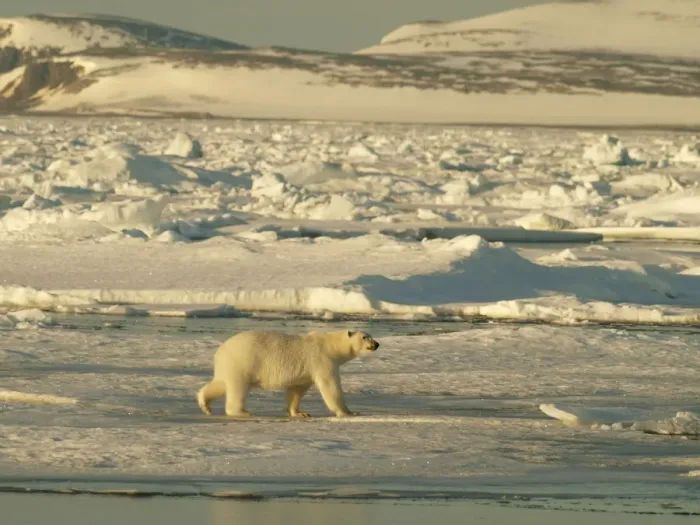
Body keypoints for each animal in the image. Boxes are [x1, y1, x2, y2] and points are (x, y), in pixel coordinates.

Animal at [196, 329, 379, 418]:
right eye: (365, 337)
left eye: (370, 336)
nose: (377, 344)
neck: (331, 345)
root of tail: (221, 351)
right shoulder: (322, 360)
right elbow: (330, 387)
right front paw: (348, 412)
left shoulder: (306, 371)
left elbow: (296, 390)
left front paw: (300, 413)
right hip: (243, 362)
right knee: (237, 389)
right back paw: (242, 412)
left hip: (229, 366)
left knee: (221, 384)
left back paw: (205, 404)